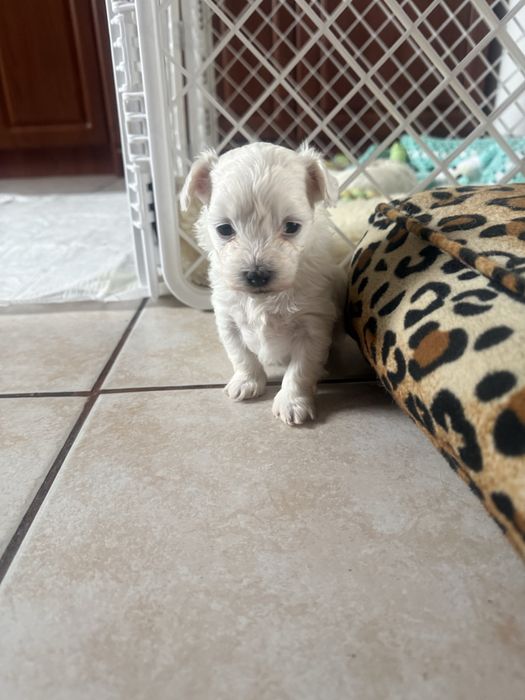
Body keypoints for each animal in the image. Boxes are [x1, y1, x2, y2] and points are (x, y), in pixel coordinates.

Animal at [180, 142, 349, 425]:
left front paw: (292, 402)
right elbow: (240, 354)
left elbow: (301, 368)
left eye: (292, 226)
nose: (256, 275)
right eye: (224, 229)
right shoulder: (227, 319)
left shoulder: (313, 325)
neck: (262, 299)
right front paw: (246, 382)